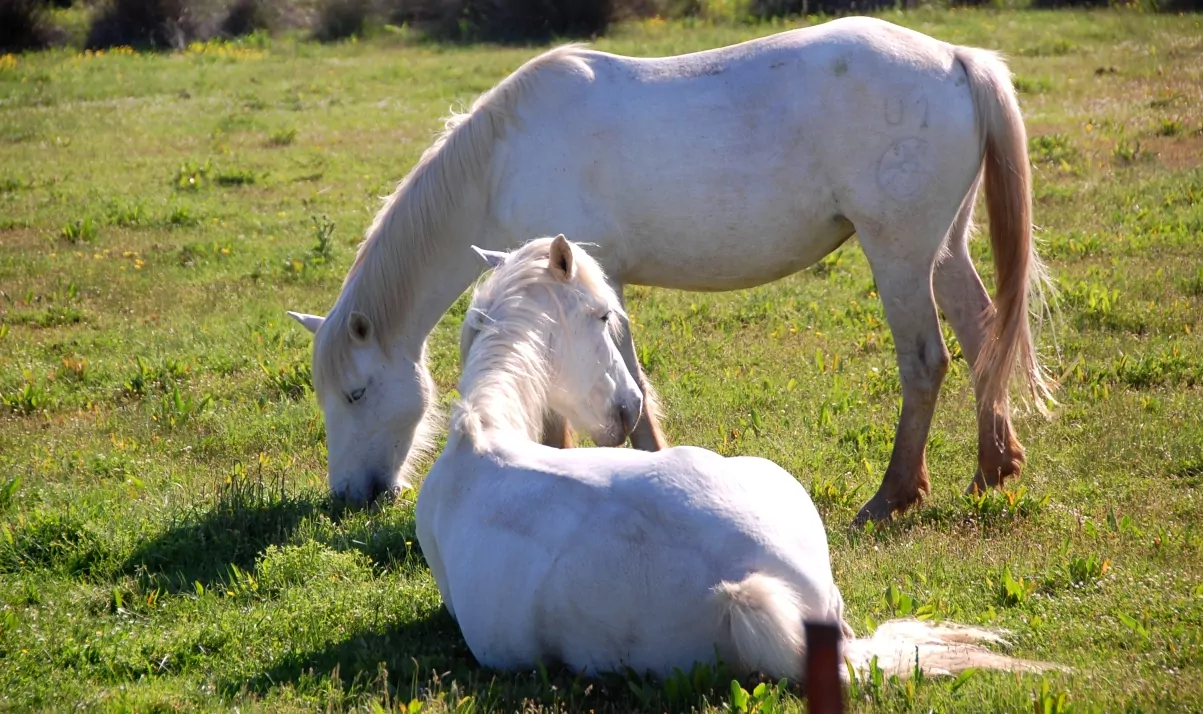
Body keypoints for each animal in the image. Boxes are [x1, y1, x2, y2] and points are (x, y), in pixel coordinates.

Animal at [283, 13, 1053, 519]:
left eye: (355, 394)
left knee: (926, 362)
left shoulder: (588, 282)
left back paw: (894, 495)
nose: (350, 495)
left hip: (897, 255)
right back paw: (993, 469)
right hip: (942, 249)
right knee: (984, 335)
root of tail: (955, 57)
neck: (500, 160)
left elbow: (621, 387)